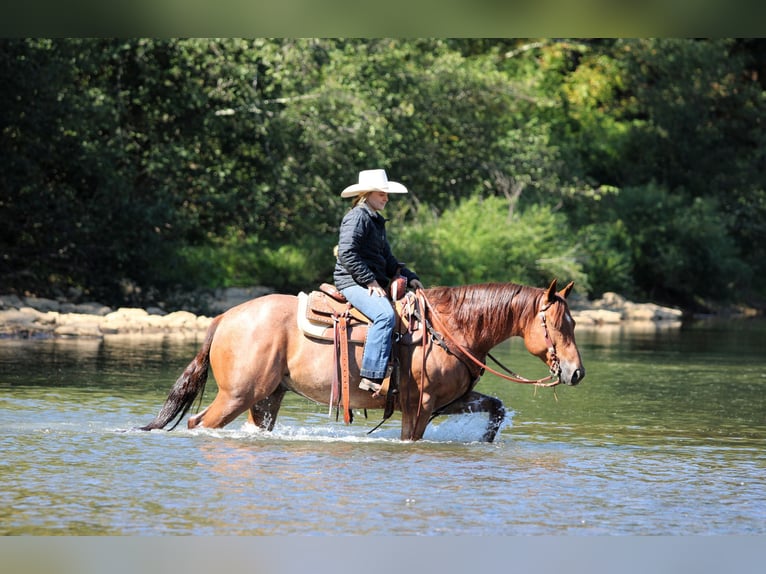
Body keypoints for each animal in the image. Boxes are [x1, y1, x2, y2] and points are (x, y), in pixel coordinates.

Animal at [139, 279, 585, 442]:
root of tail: (224, 318)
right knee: (198, 423)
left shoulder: (447, 401)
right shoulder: (420, 405)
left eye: (574, 322)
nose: (576, 372)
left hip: (265, 398)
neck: (453, 329)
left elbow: (495, 408)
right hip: (237, 394)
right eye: (554, 325)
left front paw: (486, 441)